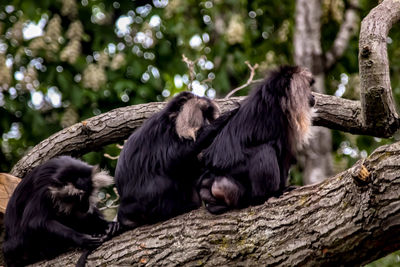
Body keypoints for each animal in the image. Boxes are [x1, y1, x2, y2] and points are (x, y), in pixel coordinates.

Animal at [114, 91, 236, 229]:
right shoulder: (162, 133)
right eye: (203, 115)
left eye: (210, 117)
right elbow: (173, 159)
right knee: (162, 182)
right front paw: (219, 123)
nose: (209, 123)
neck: (173, 121)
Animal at [197, 66, 316, 215]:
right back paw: (266, 195)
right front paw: (280, 190)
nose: (313, 96)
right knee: (264, 150)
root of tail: (210, 178)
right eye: (307, 89)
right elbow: (282, 154)